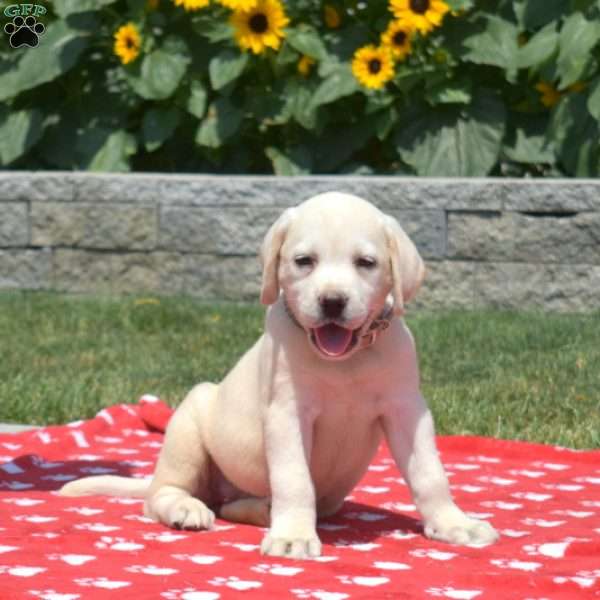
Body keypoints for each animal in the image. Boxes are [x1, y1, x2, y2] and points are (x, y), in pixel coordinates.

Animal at [62, 192, 496, 556]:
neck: (346, 360)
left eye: (366, 263)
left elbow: (430, 473)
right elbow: (294, 479)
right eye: (304, 261)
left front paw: (454, 524)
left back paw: (257, 508)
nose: (332, 302)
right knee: (162, 495)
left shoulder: (406, 409)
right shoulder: (287, 414)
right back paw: (188, 508)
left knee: (233, 505)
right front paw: (293, 537)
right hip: (188, 424)